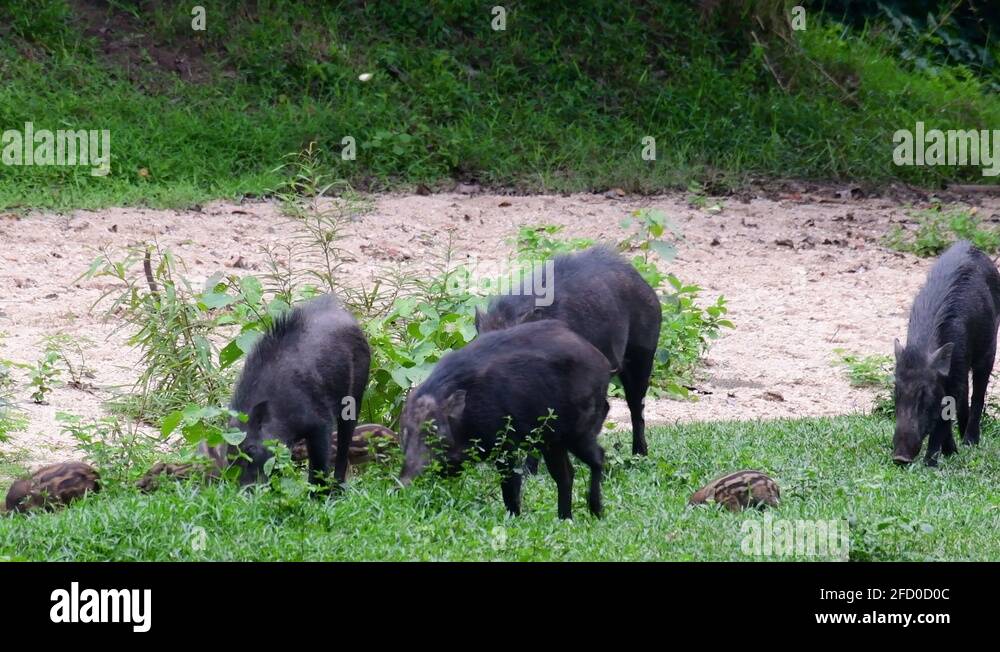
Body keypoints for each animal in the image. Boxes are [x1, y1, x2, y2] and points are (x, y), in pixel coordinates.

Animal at [225, 294, 370, 487]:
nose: (245, 488)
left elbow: (318, 465)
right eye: (229, 456)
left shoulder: (321, 424)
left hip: (354, 401)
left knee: (343, 446)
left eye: (250, 449)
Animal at [399, 319, 611, 519]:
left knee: (598, 457)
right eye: (405, 432)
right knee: (565, 474)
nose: (403, 483)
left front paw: (514, 518)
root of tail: (605, 364)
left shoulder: (506, 444)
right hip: (552, 441)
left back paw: (596, 511)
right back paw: (565, 518)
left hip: (577, 432)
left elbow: (510, 486)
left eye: (435, 432)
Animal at [893, 240, 1000, 465]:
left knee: (978, 394)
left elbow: (943, 415)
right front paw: (950, 452)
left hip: (989, 350)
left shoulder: (956, 369)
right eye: (896, 390)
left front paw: (931, 463)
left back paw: (970, 442)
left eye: (925, 393)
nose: (900, 458)